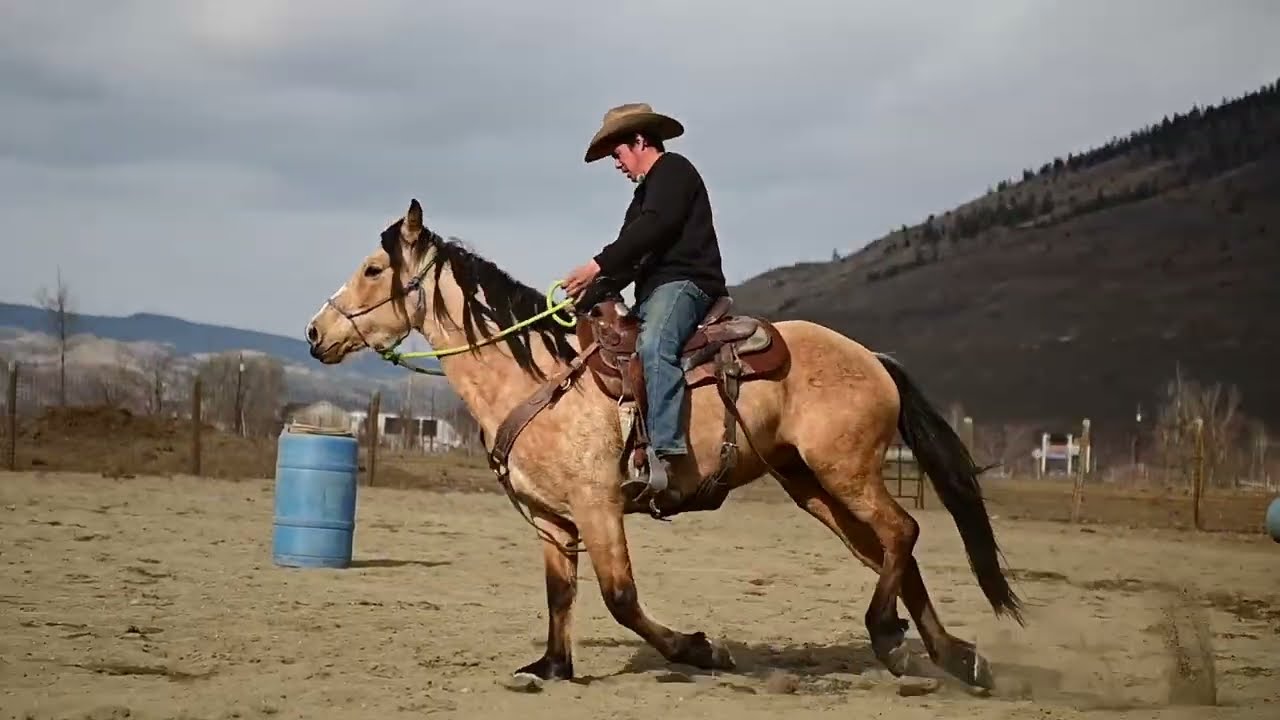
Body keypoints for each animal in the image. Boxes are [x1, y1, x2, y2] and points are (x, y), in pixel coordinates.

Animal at [304, 198, 1024, 691]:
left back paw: (891, 637)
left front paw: (702, 650)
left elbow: (620, 598)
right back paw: (953, 656)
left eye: (374, 268)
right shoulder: (551, 518)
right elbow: (559, 595)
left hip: (846, 471)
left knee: (902, 532)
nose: (314, 333)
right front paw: (552, 666)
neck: (536, 375)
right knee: (888, 552)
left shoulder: (598, 506)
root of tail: (874, 359)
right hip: (813, 486)